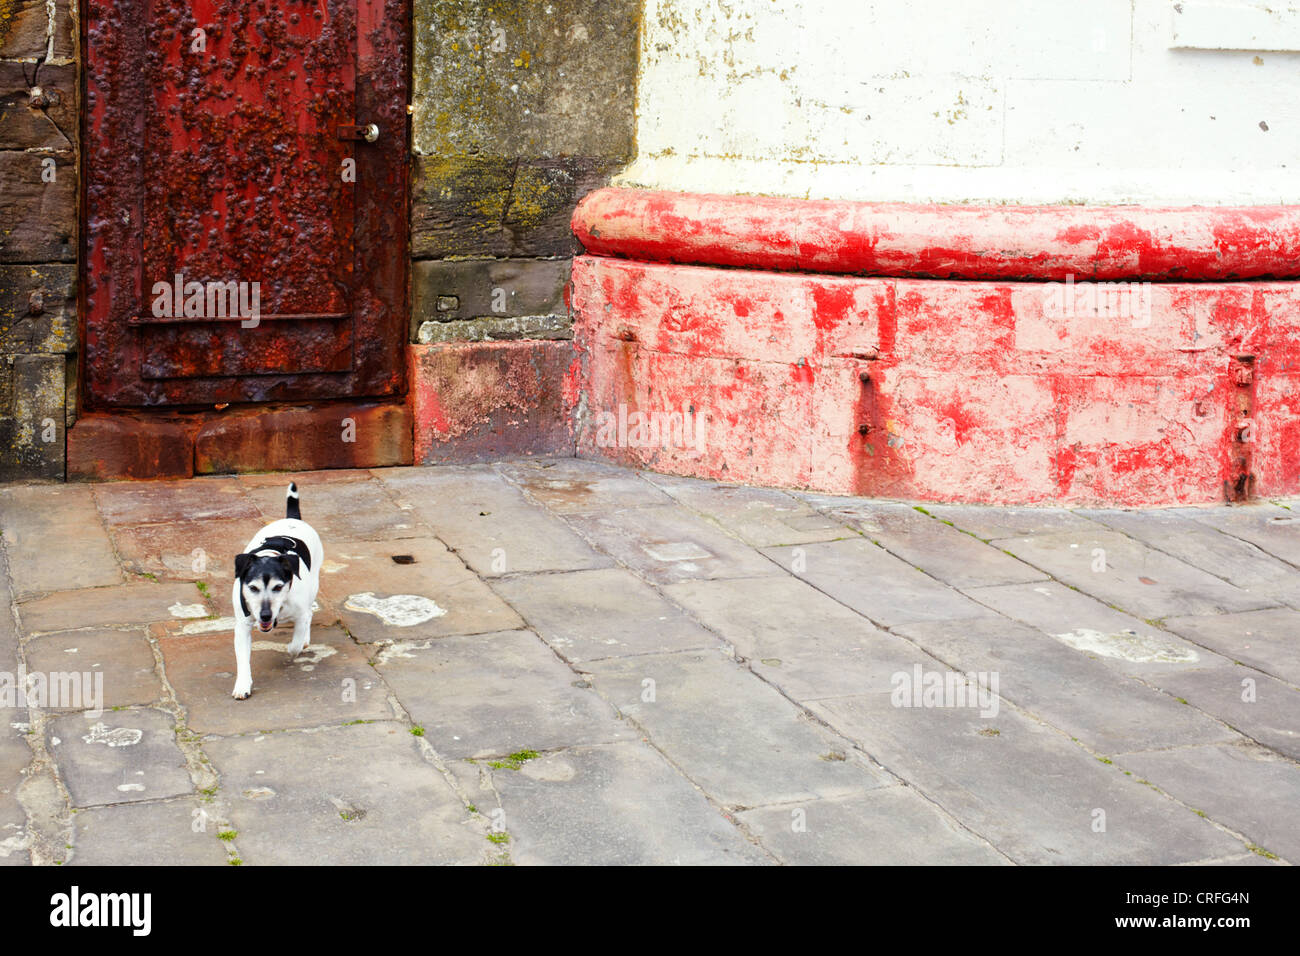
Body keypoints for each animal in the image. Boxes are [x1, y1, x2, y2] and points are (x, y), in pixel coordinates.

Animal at [230, 481, 321, 697]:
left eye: (278, 587)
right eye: (253, 588)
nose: (264, 615)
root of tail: (292, 518)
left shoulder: (300, 614)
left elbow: (295, 644)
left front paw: (295, 645)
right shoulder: (242, 625)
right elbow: (243, 659)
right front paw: (243, 685)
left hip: (314, 584)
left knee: (310, 613)